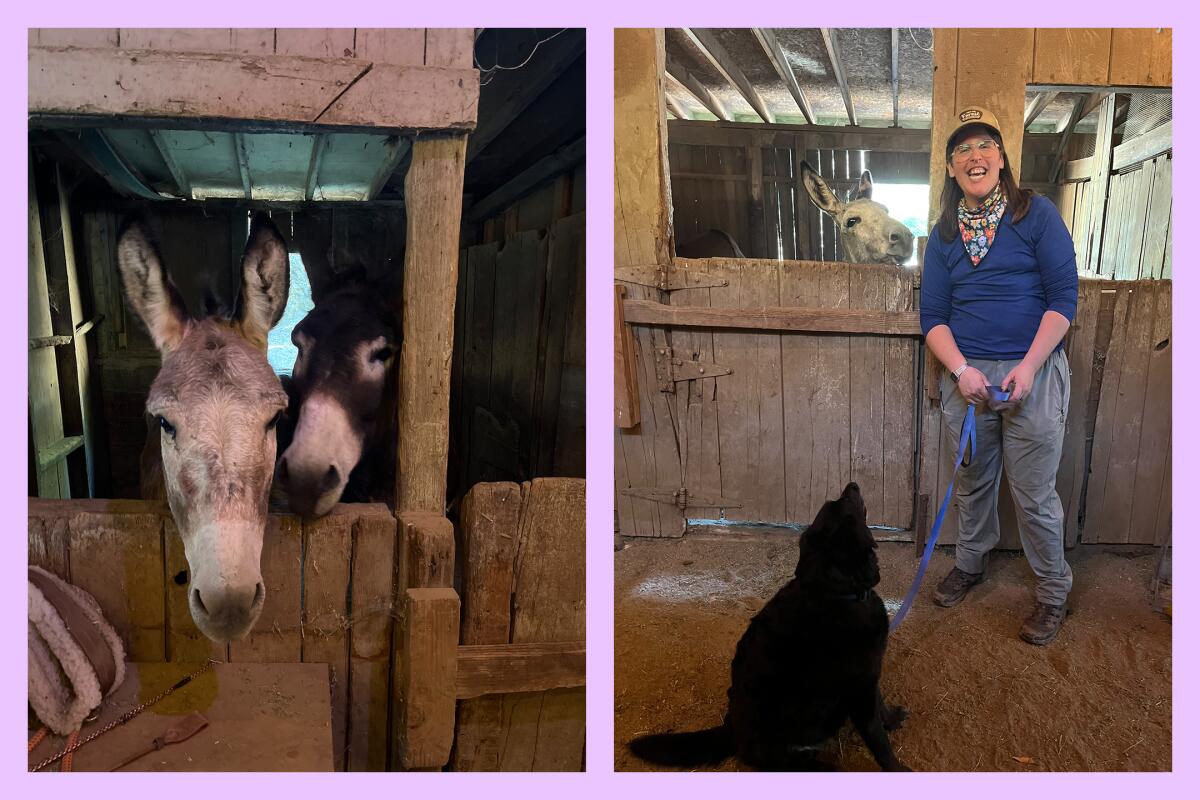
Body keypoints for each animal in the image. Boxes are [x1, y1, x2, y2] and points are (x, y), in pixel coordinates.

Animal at [628, 482, 907, 767]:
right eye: (844, 506)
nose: (852, 485)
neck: (838, 594)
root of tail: (732, 731)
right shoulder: (860, 689)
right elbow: (879, 741)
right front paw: (898, 767)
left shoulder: (871, 674)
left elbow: (880, 705)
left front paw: (892, 719)